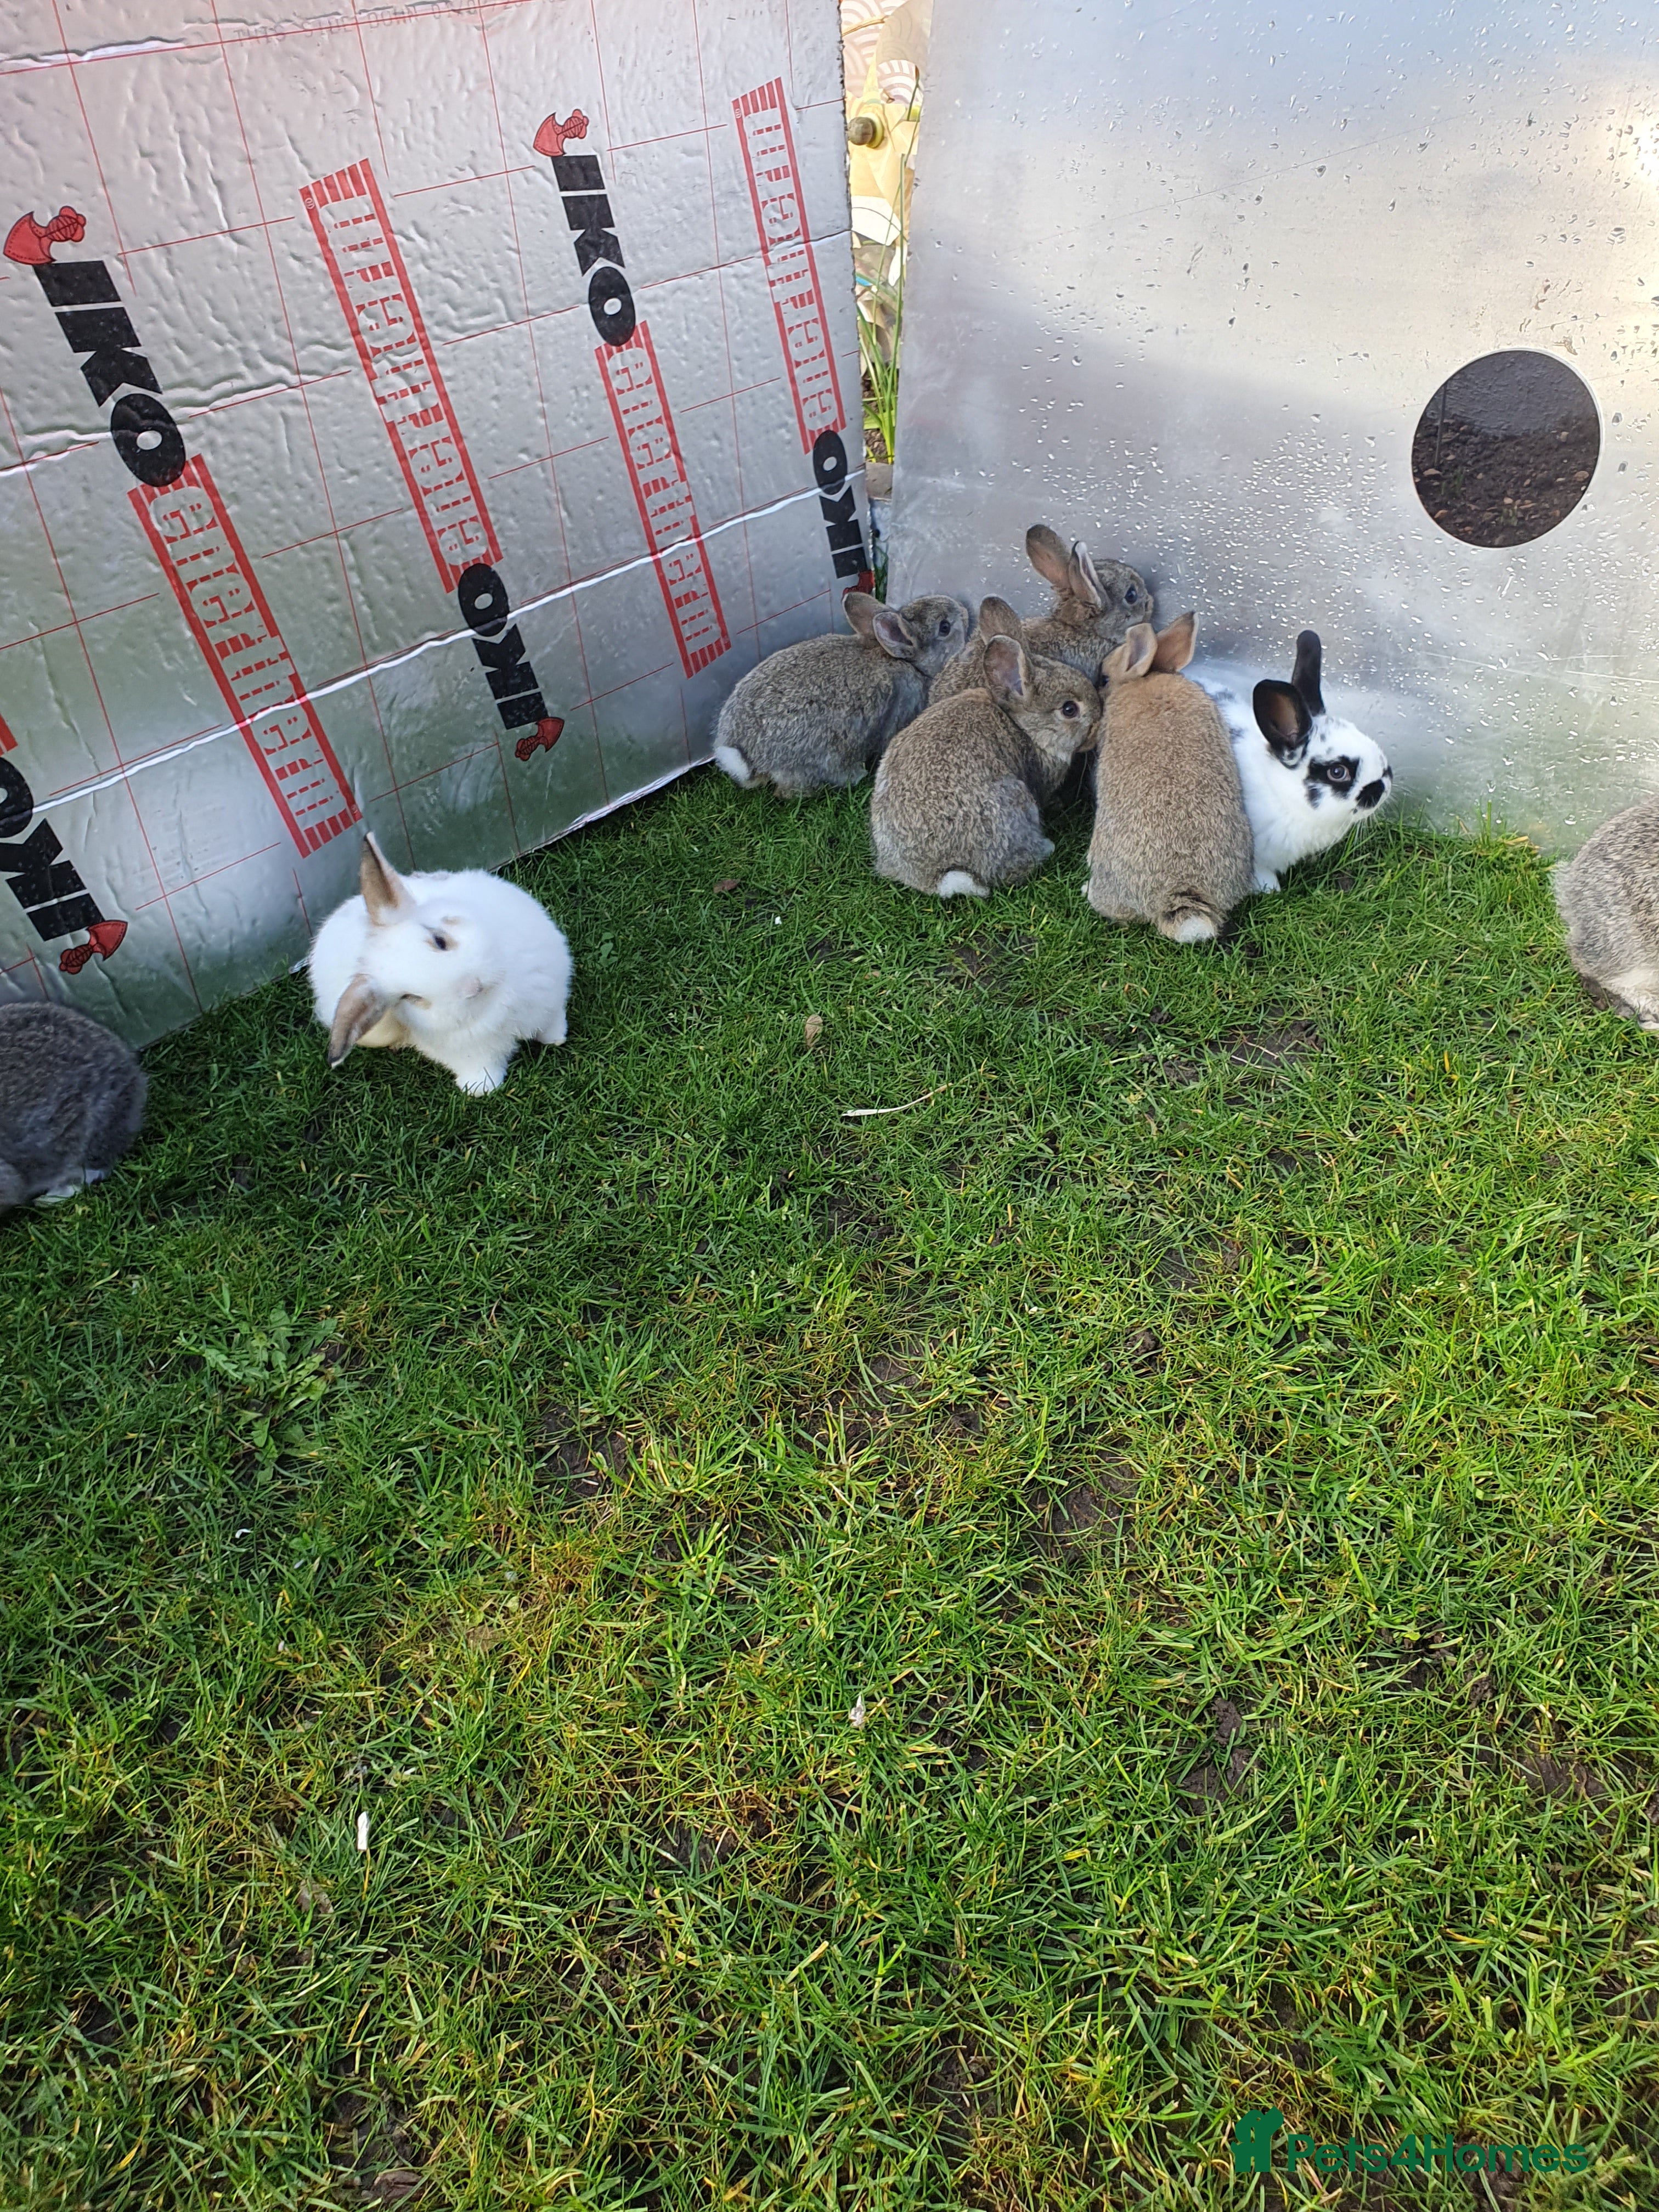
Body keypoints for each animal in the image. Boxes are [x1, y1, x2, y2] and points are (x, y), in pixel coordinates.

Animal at [309, 832, 572, 1095]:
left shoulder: (549, 996)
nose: (473, 988)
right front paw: (479, 1089)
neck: (497, 999)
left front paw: (556, 1038)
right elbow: (483, 1067)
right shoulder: (472, 1052)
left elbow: (551, 1021)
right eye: (410, 998)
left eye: (440, 940)